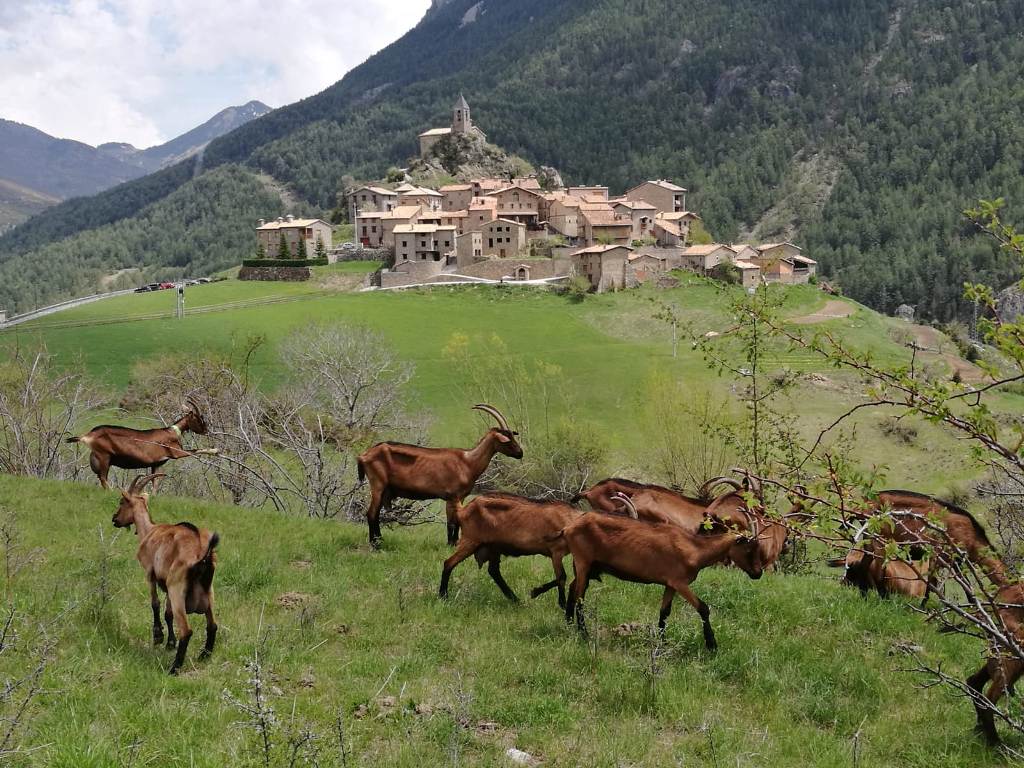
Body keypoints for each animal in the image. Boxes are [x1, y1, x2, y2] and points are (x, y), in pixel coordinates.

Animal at [113, 473, 219, 675]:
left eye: (122, 501)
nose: (114, 519)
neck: (149, 530)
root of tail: (203, 554)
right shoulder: (165, 582)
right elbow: (167, 613)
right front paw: (170, 642)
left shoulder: (150, 573)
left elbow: (155, 604)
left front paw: (158, 636)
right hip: (207, 591)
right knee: (212, 625)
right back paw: (204, 655)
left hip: (177, 587)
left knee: (187, 630)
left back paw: (174, 668)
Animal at [358, 405, 520, 548]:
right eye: (507, 439)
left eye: (512, 435)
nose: (520, 453)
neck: (467, 461)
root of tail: (364, 455)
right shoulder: (452, 496)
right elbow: (451, 522)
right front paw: (450, 545)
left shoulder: (461, 497)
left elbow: (458, 521)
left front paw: (454, 543)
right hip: (377, 485)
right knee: (371, 514)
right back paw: (375, 544)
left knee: (375, 514)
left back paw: (379, 540)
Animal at [438, 495, 585, 610]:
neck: (570, 520)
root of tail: (463, 510)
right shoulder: (556, 552)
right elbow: (562, 577)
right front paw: (561, 603)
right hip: (471, 541)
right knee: (448, 563)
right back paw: (443, 595)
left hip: (493, 547)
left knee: (494, 571)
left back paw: (515, 599)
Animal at [557, 495, 765, 651]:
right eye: (749, 549)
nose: (758, 573)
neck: (695, 548)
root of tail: (570, 526)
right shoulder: (680, 583)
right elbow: (703, 608)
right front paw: (712, 644)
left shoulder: (670, 584)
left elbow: (664, 612)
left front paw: (662, 643)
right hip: (583, 562)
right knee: (580, 597)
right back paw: (584, 634)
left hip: (586, 566)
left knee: (574, 589)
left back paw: (569, 623)